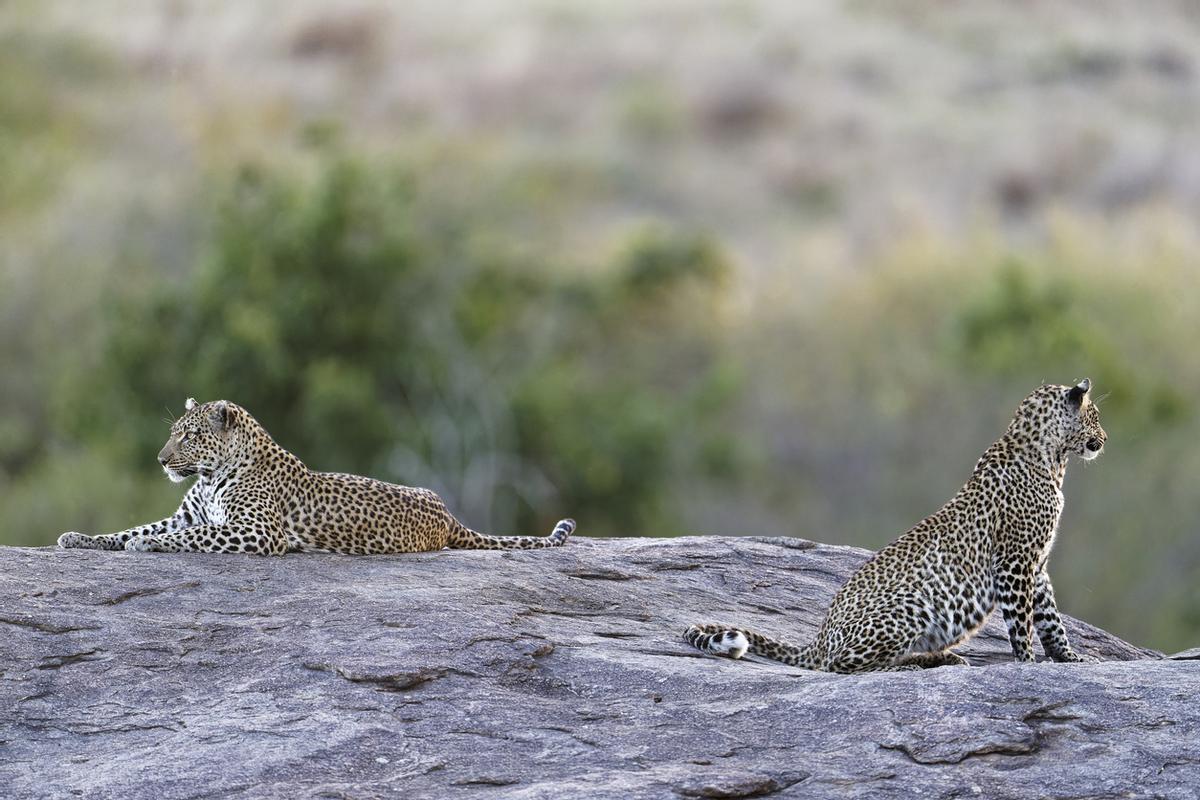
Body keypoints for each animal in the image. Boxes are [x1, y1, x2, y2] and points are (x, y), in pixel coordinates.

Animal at [58, 398, 575, 555]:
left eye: (188, 437)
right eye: (173, 435)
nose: (161, 460)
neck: (208, 475)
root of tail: (448, 514)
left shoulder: (256, 531)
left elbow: (184, 538)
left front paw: (148, 545)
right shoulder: (189, 516)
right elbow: (130, 528)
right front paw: (80, 538)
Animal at [685, 379, 1106, 673]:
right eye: (1096, 417)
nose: (1104, 439)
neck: (1052, 458)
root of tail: (818, 639)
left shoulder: (1037, 564)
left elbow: (1050, 617)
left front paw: (1070, 657)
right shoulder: (1015, 561)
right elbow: (1022, 622)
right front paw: (1029, 663)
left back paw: (944, 659)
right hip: (910, 607)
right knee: (844, 667)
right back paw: (917, 665)